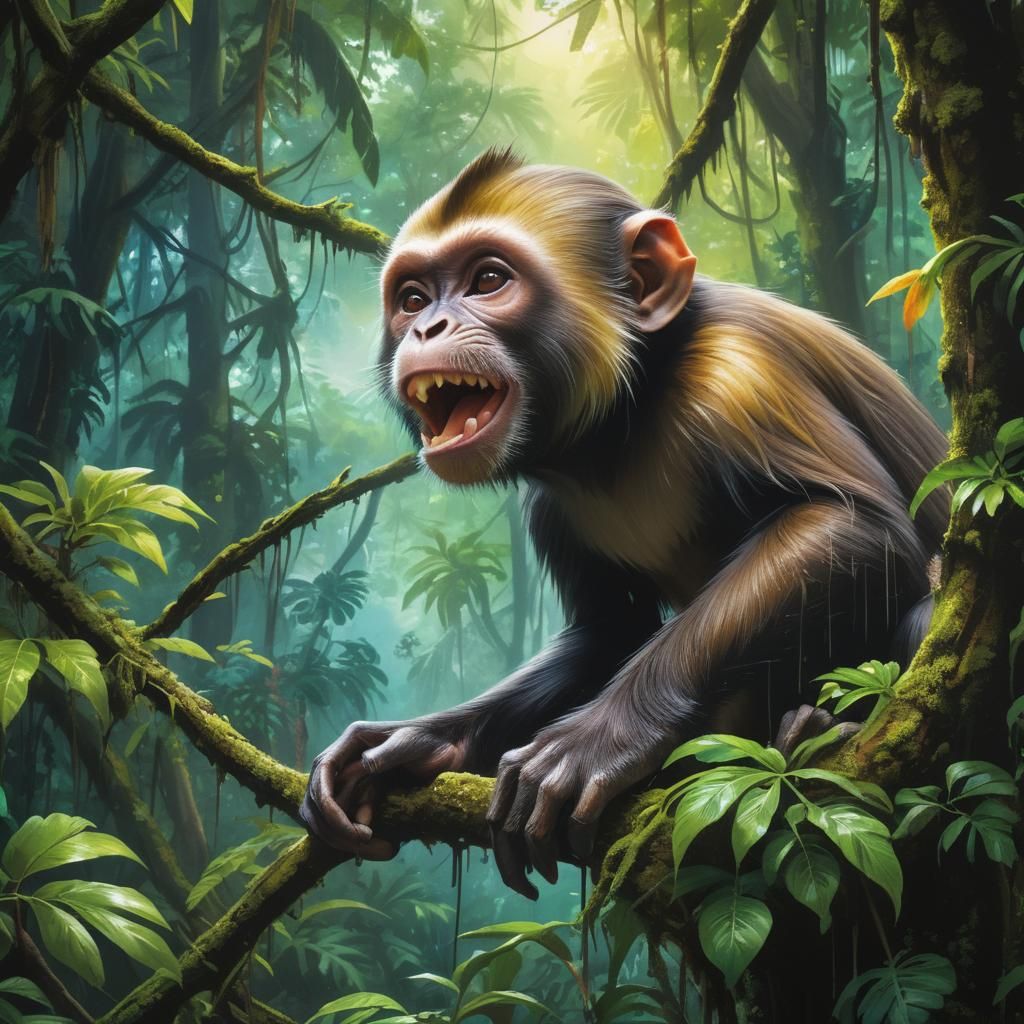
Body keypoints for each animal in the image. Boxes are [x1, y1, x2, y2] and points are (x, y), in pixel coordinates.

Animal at [300, 147, 949, 898]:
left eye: (488, 280)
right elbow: (609, 632)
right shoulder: (553, 507)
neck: (627, 421)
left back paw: (821, 729)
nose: (427, 327)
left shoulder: (742, 377)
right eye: (412, 299)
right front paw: (421, 741)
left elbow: (853, 528)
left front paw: (596, 742)